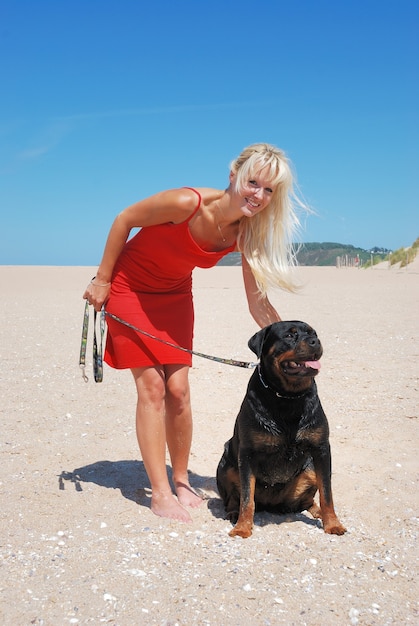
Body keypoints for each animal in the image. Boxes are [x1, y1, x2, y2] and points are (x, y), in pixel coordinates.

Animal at [217, 320, 348, 540]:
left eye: (314, 333)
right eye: (289, 335)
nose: (315, 341)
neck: (287, 397)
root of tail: (273, 504)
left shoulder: (322, 449)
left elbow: (327, 493)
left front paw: (333, 523)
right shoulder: (247, 453)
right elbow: (246, 497)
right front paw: (243, 527)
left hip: (310, 469)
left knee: (309, 500)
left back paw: (319, 512)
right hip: (226, 463)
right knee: (234, 497)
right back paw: (233, 513)